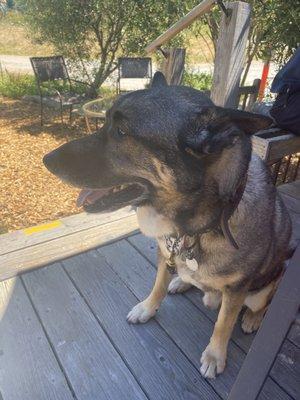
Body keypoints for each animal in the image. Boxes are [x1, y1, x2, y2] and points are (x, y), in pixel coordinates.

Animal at [43, 72, 292, 378]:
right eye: (106, 122)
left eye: (121, 132)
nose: (45, 161)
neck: (198, 228)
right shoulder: (165, 254)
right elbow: (158, 285)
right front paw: (148, 307)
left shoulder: (236, 289)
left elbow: (223, 324)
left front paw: (215, 355)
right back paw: (182, 281)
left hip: (263, 288)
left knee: (260, 304)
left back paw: (252, 319)